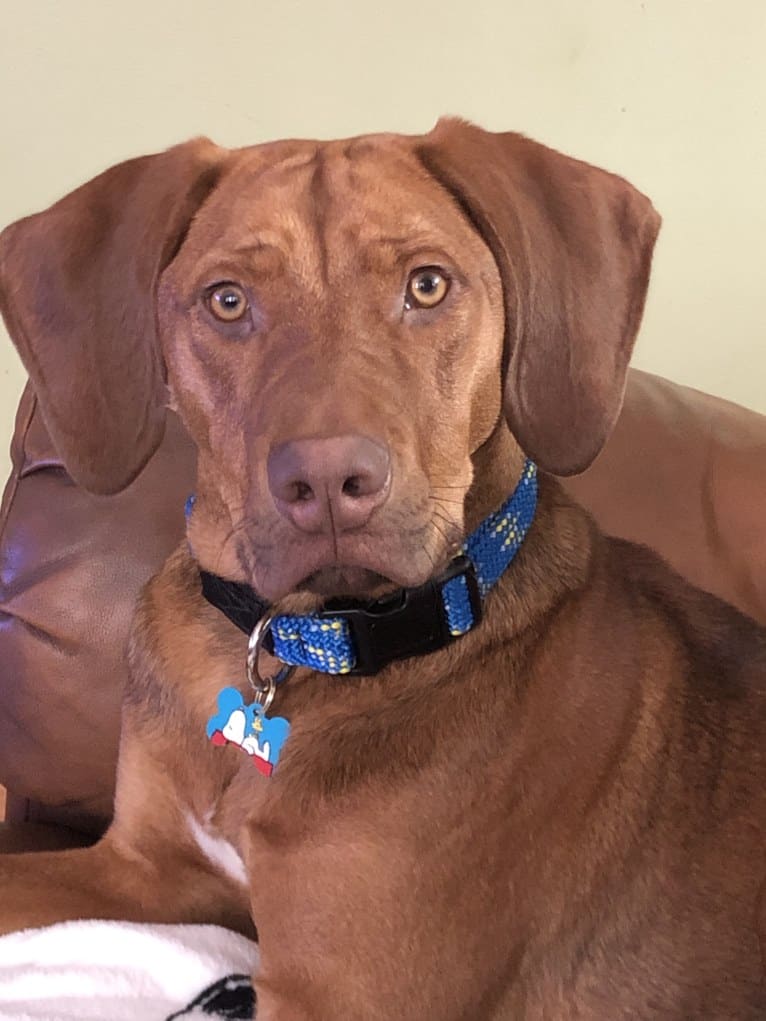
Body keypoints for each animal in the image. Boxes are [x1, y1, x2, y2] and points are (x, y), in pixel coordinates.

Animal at [1, 121, 766, 1021]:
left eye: (427, 286)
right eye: (227, 300)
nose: (330, 482)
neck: (308, 644)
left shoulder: (332, 994)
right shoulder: (142, 867)